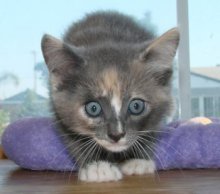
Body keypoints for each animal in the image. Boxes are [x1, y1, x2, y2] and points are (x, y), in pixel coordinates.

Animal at [41, 11, 179, 182]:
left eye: (136, 106)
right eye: (93, 108)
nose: (116, 135)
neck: (108, 38)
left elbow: (151, 130)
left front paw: (138, 159)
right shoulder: (59, 111)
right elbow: (73, 138)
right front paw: (97, 166)